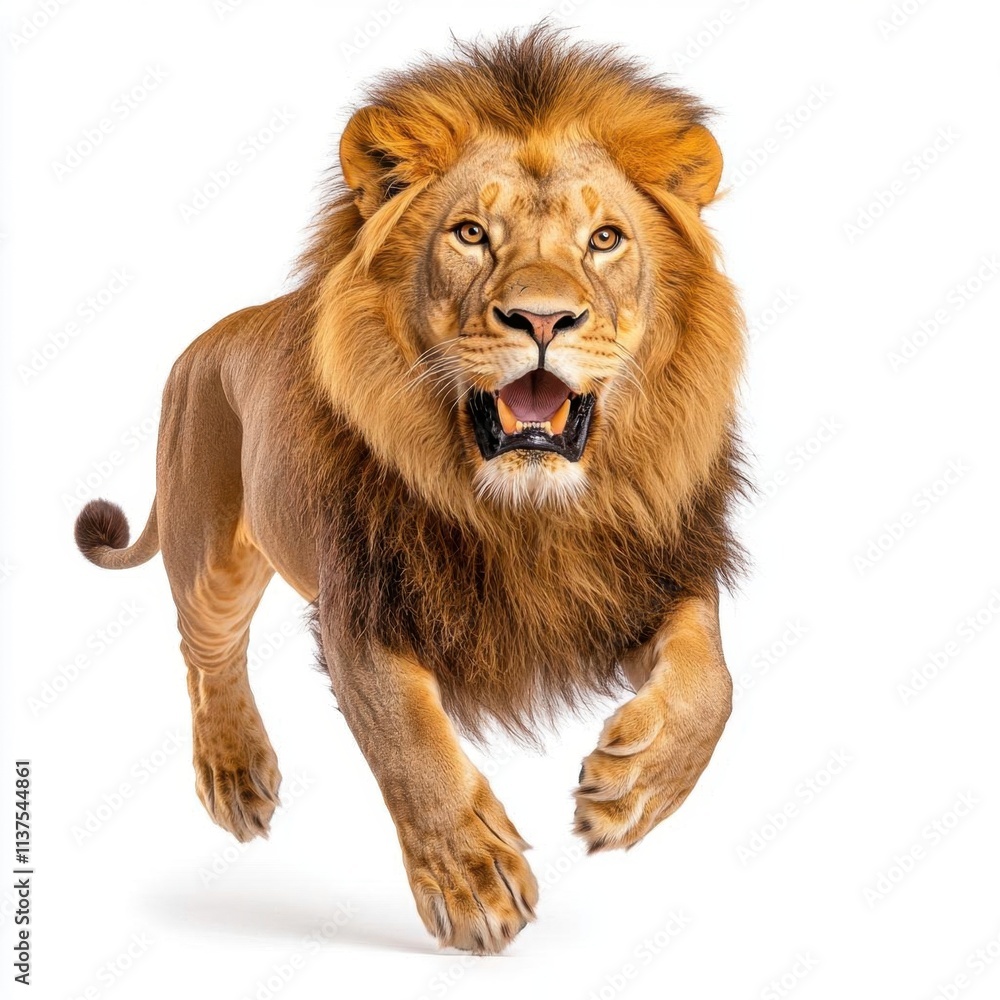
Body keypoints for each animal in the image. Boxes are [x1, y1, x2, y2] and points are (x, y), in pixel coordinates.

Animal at [73, 27, 748, 954]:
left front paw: (632, 788)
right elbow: (409, 740)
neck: (526, 515)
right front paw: (472, 881)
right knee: (203, 651)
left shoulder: (654, 572)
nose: (543, 319)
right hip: (207, 543)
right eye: (471, 233)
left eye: (605, 239)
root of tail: (214, 334)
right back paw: (234, 771)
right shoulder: (364, 606)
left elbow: (712, 681)